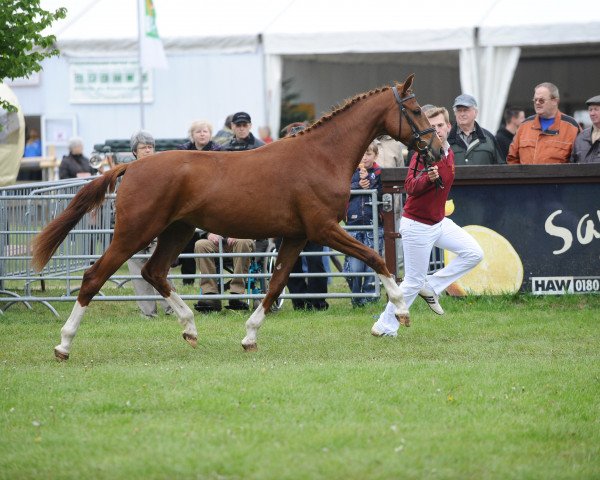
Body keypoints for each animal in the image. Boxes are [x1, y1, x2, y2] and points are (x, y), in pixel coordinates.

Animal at [31, 74, 440, 360]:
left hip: (177, 231)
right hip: (136, 232)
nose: (437, 149)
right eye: (415, 110)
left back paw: (190, 329)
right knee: (94, 277)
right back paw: (64, 345)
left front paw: (249, 336)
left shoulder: (296, 236)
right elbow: (375, 258)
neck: (321, 156)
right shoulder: (322, 229)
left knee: (154, 272)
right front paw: (402, 311)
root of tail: (131, 167)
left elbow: (275, 285)